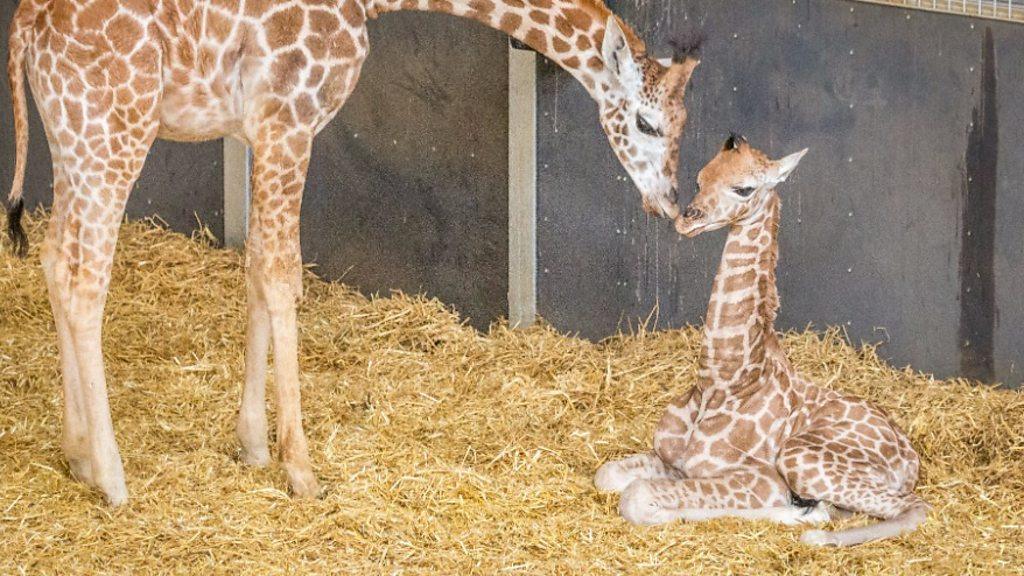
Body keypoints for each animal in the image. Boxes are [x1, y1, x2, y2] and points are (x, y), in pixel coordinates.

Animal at [2, 0, 704, 502]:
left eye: (684, 124)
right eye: (646, 122)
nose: (671, 204)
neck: (368, 1)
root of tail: (26, 25)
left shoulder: (260, 131)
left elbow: (257, 270)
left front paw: (254, 446)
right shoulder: (289, 122)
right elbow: (282, 277)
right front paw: (302, 472)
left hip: (73, 141)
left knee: (54, 260)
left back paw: (77, 454)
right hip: (114, 133)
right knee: (85, 279)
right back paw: (113, 477)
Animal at [593, 135, 929, 545]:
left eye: (744, 188)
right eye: (700, 177)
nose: (687, 219)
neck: (720, 382)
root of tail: (911, 458)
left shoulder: (760, 478)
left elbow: (636, 496)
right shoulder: (672, 461)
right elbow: (607, 475)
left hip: (800, 457)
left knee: (915, 507)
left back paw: (817, 535)